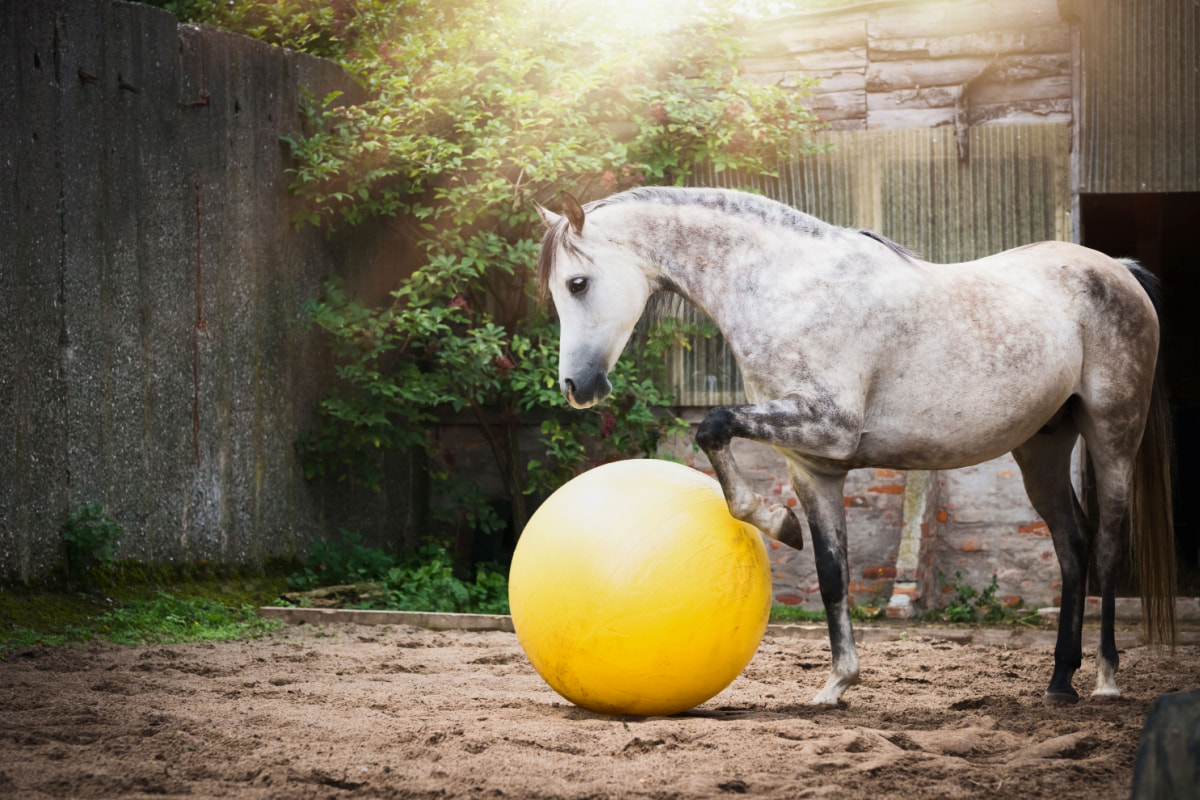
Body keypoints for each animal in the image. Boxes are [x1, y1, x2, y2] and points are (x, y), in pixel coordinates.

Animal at [540, 185, 1176, 705]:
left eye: (577, 283)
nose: (576, 388)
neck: (785, 287)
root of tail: (1118, 271)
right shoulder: (812, 465)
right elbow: (830, 570)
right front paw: (837, 682)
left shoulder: (827, 426)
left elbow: (713, 426)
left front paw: (777, 524)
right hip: (1040, 447)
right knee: (1072, 545)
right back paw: (1060, 681)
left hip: (1112, 434)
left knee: (1106, 547)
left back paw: (1106, 680)